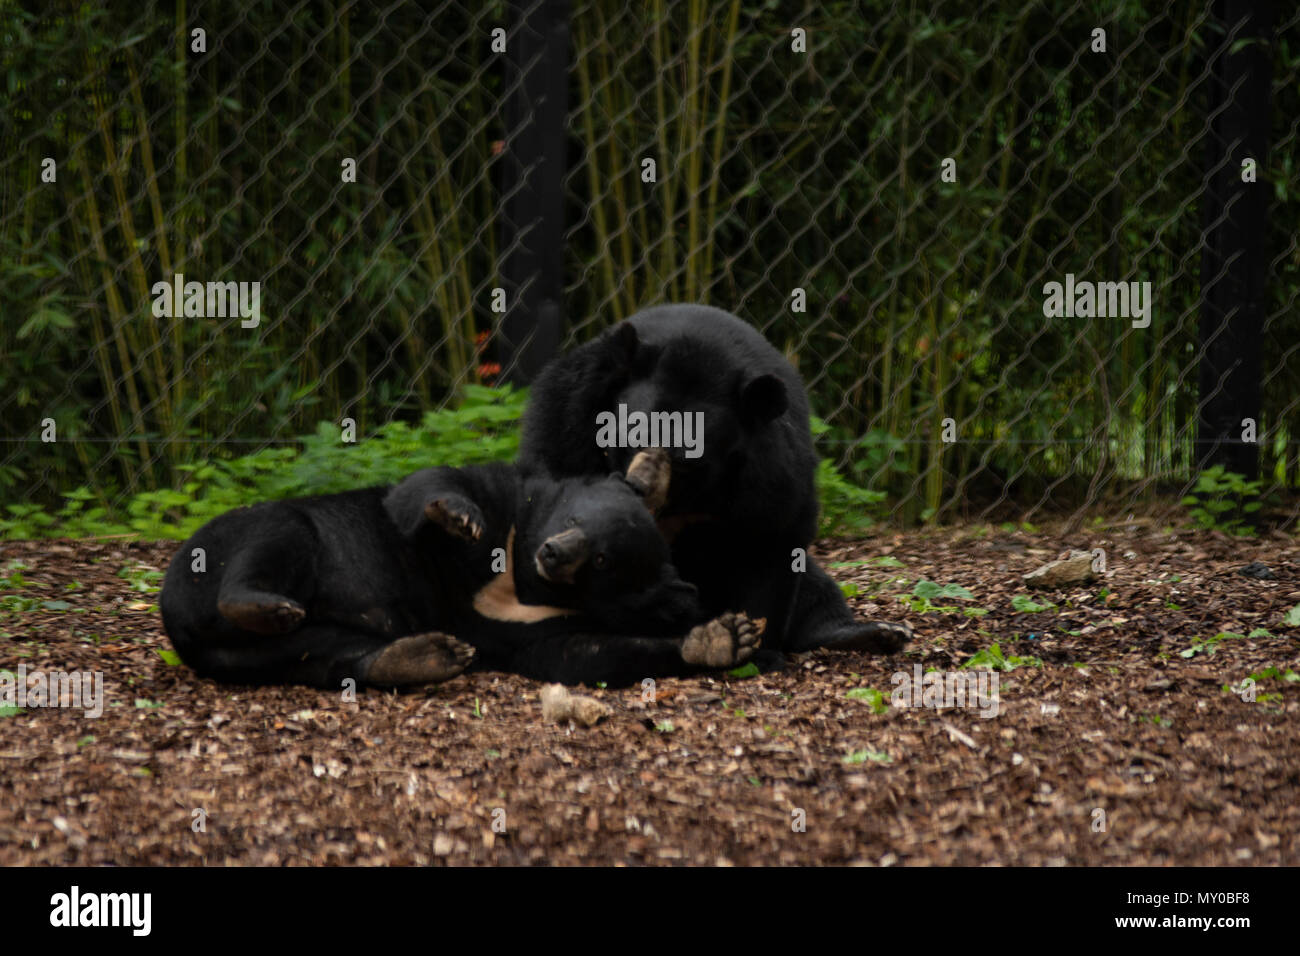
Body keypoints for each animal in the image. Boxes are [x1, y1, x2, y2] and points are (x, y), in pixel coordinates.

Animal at [159, 447, 759, 686]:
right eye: (573, 518)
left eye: (603, 559)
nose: (554, 553)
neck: (520, 576)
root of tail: (178, 620)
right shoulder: (504, 494)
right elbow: (427, 488)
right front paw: (458, 516)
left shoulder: (545, 622)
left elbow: (577, 652)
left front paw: (725, 637)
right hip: (234, 536)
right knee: (277, 538)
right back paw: (263, 603)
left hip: (271, 652)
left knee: (333, 655)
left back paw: (426, 655)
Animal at [517, 304, 915, 658]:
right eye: (631, 435)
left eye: (684, 457)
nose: (639, 487)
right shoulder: (569, 414)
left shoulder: (771, 471)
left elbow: (770, 540)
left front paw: (755, 641)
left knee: (816, 588)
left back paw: (874, 633)